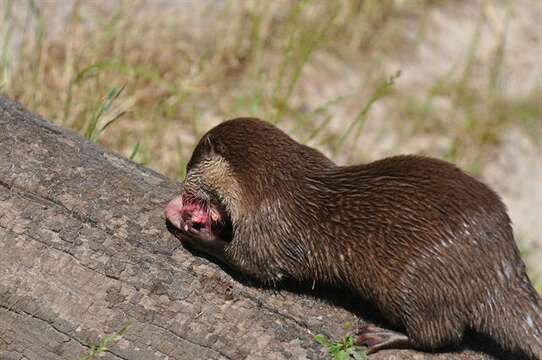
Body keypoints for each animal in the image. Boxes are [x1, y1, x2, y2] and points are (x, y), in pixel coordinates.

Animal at [166, 117, 542, 358]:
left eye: (189, 164)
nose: (184, 183)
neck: (269, 184)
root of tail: (501, 269)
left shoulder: (268, 228)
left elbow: (252, 264)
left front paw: (195, 233)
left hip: (418, 283)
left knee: (440, 335)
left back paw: (380, 335)